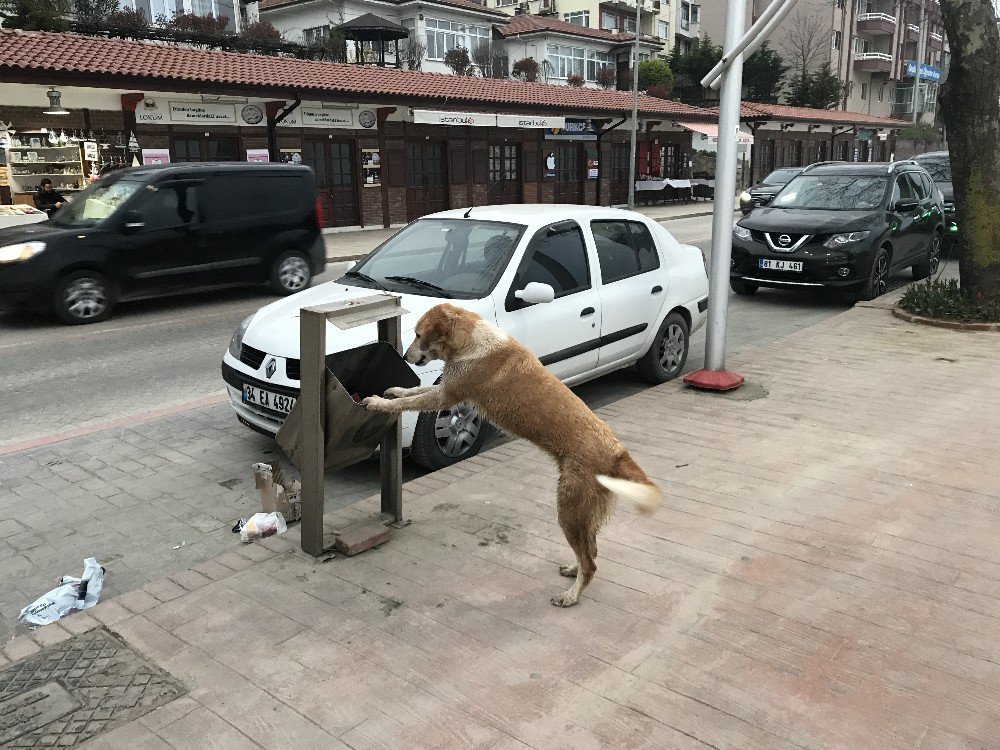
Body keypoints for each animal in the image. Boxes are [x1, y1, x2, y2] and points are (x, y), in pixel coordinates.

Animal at [364, 302, 660, 608]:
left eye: (418, 335)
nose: (405, 356)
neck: (471, 341)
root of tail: (618, 453)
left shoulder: (447, 395)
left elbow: (410, 401)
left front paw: (379, 403)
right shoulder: (445, 388)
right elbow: (415, 390)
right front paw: (396, 390)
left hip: (570, 510)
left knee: (590, 563)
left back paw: (571, 596)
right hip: (583, 517)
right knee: (591, 552)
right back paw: (573, 569)